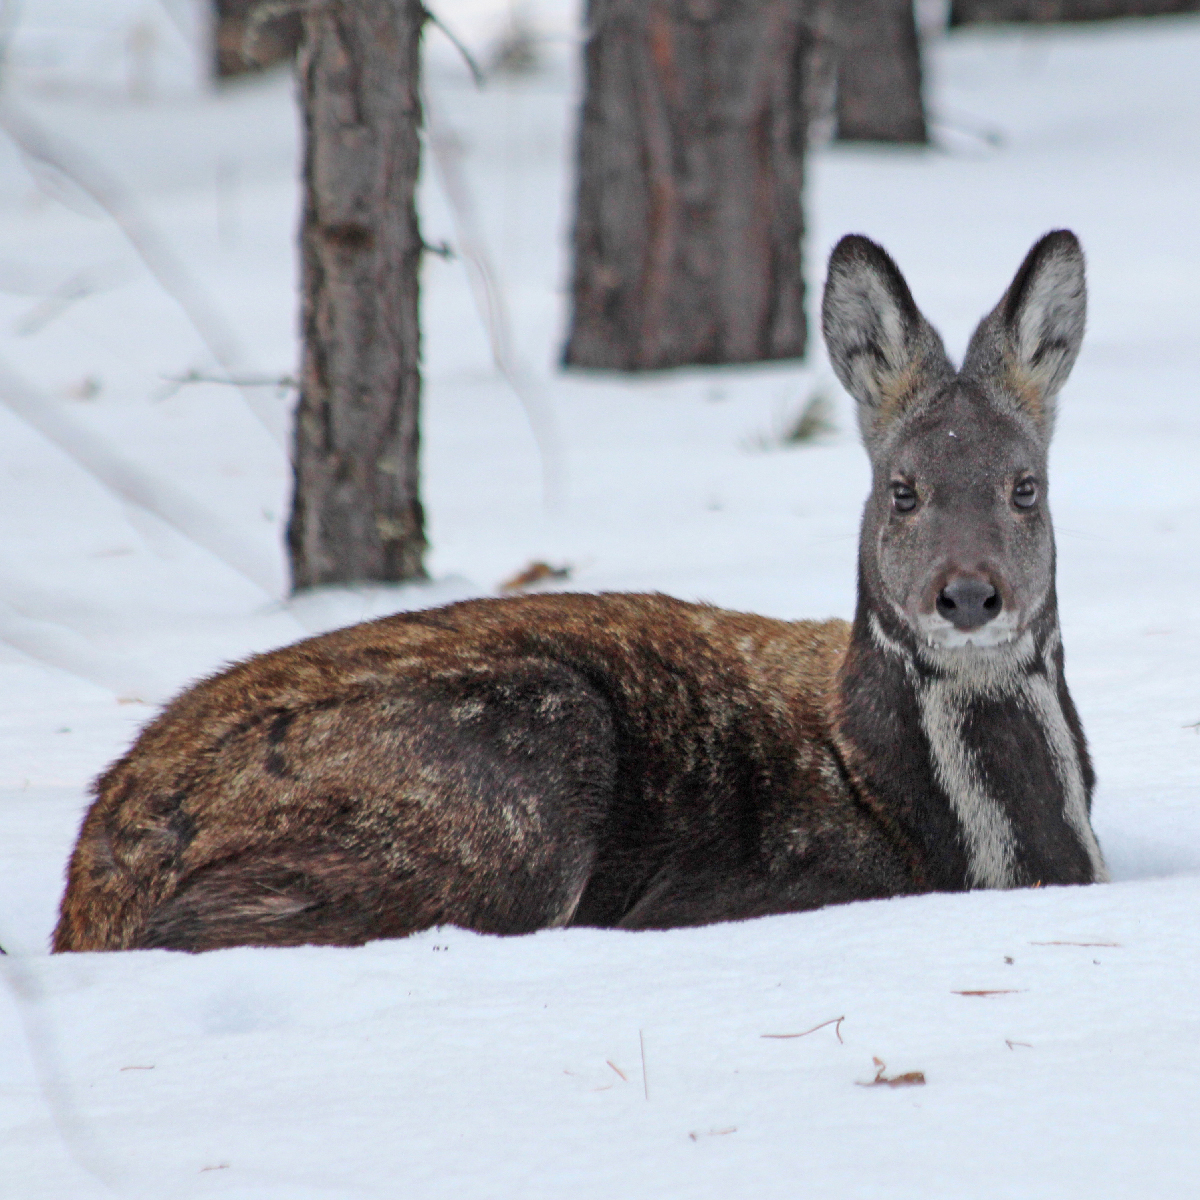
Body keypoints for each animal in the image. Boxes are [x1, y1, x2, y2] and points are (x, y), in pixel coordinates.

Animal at [54, 229, 1104, 950]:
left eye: (1027, 487)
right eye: (902, 489)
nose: (967, 598)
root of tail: (88, 890)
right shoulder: (727, 892)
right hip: (520, 775)